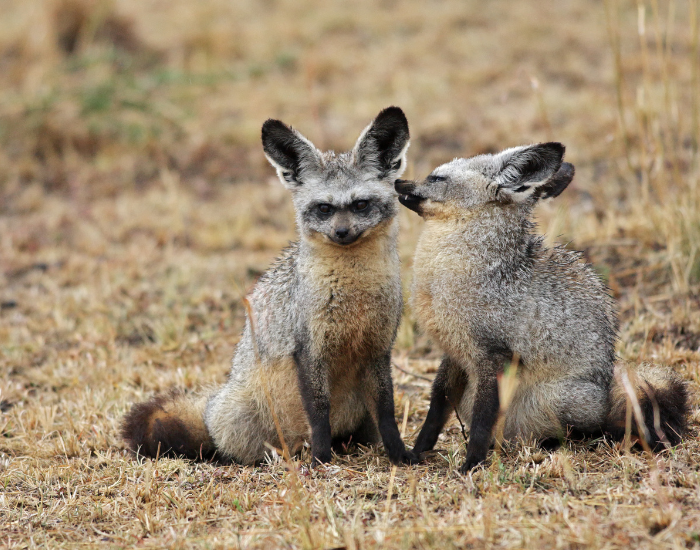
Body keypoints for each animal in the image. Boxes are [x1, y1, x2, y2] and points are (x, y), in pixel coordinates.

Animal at [122, 107, 417, 467]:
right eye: (324, 208)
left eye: (360, 204)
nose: (342, 233)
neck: (354, 294)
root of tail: (213, 405)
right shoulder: (308, 351)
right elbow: (318, 413)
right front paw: (321, 458)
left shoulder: (378, 350)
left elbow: (387, 412)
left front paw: (400, 454)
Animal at [395, 142, 689, 472]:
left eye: (436, 178)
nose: (397, 182)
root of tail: (606, 390)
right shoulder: (455, 353)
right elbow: (437, 407)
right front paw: (417, 451)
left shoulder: (494, 357)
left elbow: (483, 420)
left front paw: (472, 463)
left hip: (556, 398)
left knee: (591, 428)